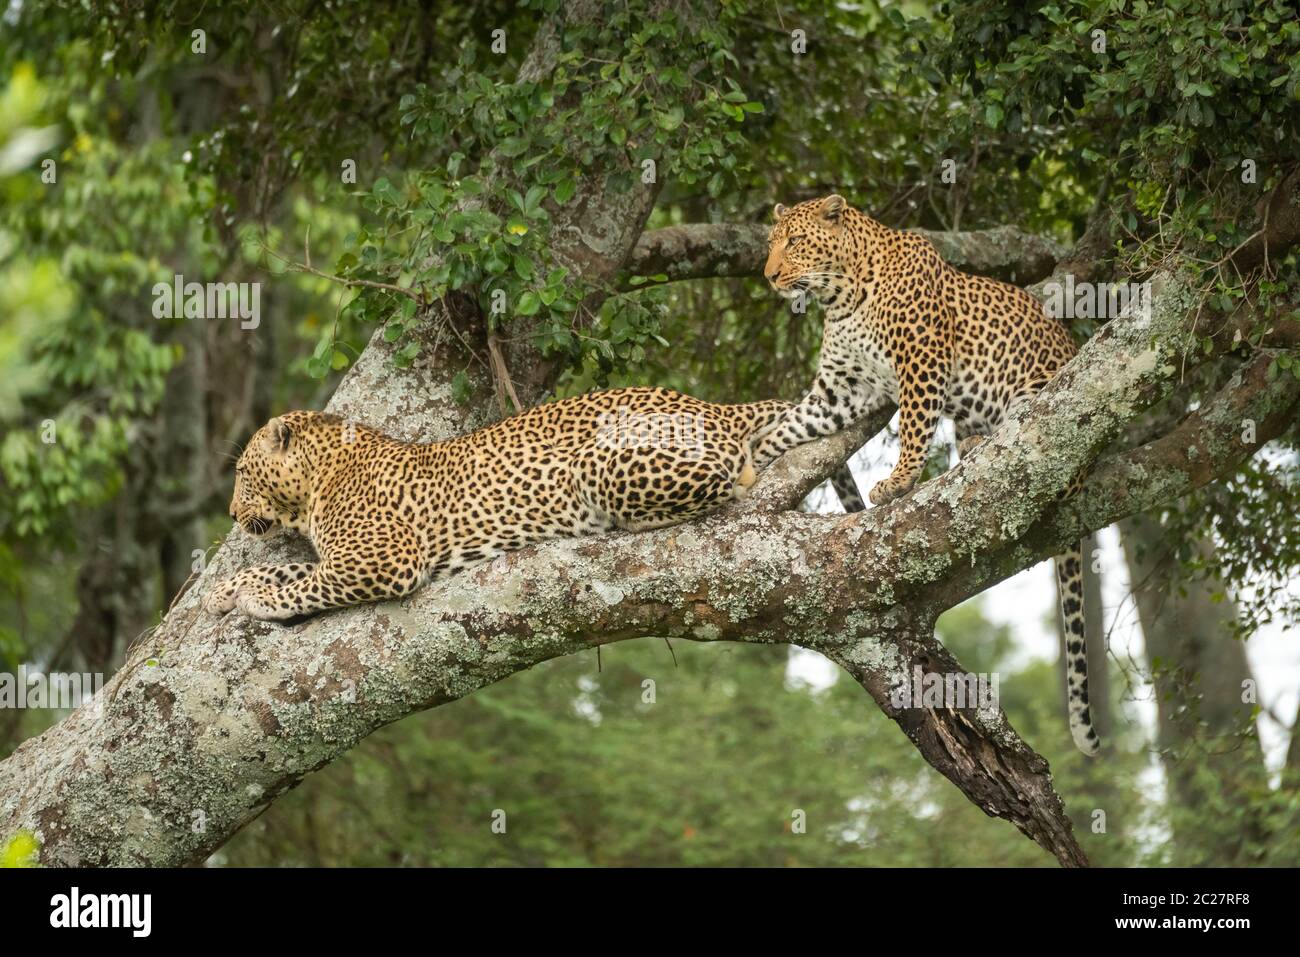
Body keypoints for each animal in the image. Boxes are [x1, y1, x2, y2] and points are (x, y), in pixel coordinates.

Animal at [202, 384, 863, 624]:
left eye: (242, 473)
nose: (231, 515)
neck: (317, 479)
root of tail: (713, 406)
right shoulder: (346, 552)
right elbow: (292, 567)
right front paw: (224, 589)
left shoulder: (384, 556)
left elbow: (304, 582)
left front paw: (254, 601)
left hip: (604, 465)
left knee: (730, 483)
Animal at [754, 195, 1097, 754]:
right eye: (770, 244)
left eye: (796, 242)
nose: (771, 275)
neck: (842, 295)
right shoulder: (841, 391)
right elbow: (787, 428)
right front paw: (748, 462)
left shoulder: (922, 357)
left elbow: (915, 424)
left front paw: (898, 481)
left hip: (1045, 406)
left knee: (1032, 454)